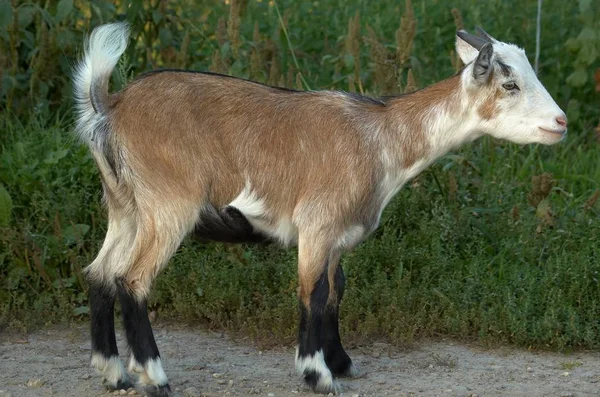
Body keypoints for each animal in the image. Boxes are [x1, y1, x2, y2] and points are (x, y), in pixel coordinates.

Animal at [74, 23, 568, 394]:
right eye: (510, 84)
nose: (561, 122)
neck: (379, 140)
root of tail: (110, 107)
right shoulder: (317, 226)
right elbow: (311, 292)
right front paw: (317, 375)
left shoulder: (339, 237)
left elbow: (335, 291)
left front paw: (342, 361)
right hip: (169, 205)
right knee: (132, 280)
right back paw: (154, 378)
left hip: (125, 207)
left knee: (100, 274)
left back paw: (114, 374)